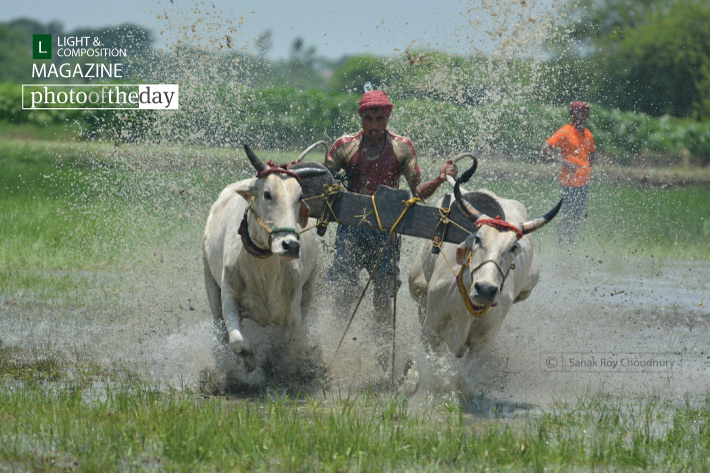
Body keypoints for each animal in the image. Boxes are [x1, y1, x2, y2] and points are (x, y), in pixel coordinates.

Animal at [203, 146, 328, 386]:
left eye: (300, 197)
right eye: (268, 193)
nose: (290, 246)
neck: (264, 271)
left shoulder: (293, 314)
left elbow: (287, 348)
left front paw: (283, 375)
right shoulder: (228, 297)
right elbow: (238, 344)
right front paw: (253, 369)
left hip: (310, 289)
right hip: (209, 282)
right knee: (220, 331)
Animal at [408, 168, 564, 390]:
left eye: (513, 247)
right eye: (478, 239)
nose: (485, 289)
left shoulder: (484, 344)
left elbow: (462, 380)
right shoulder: (431, 329)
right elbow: (431, 365)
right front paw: (412, 381)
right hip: (417, 283)